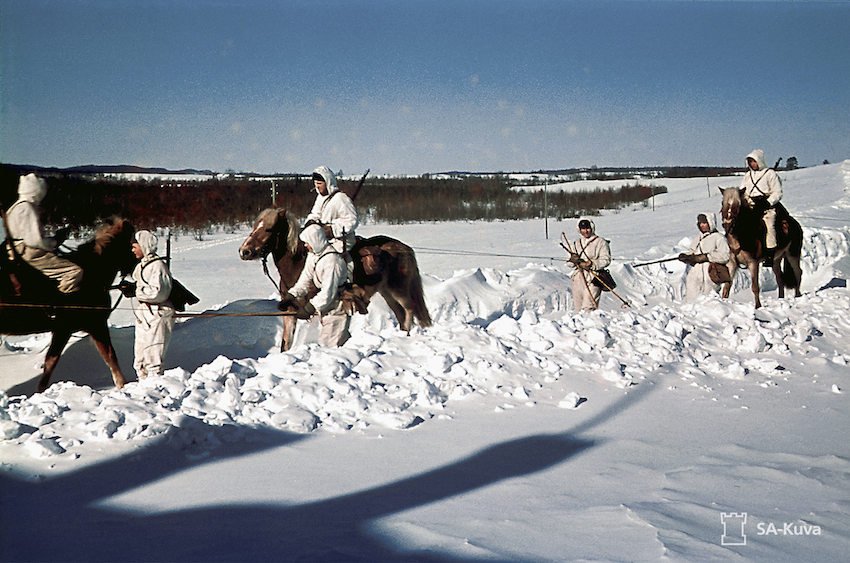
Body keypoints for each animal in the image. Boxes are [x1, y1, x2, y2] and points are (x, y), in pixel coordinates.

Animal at [0, 218, 136, 394]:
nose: (136, 262)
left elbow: (50, 362)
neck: (92, 273)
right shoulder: (96, 325)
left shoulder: (63, 330)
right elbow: (110, 355)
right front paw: (122, 385)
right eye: (131, 242)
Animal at [237, 207, 430, 350]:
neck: (296, 265)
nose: (244, 251)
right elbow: (286, 344)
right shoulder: (289, 313)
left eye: (269, 229)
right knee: (400, 313)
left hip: (399, 290)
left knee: (409, 309)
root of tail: (404, 248)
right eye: (254, 226)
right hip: (387, 293)